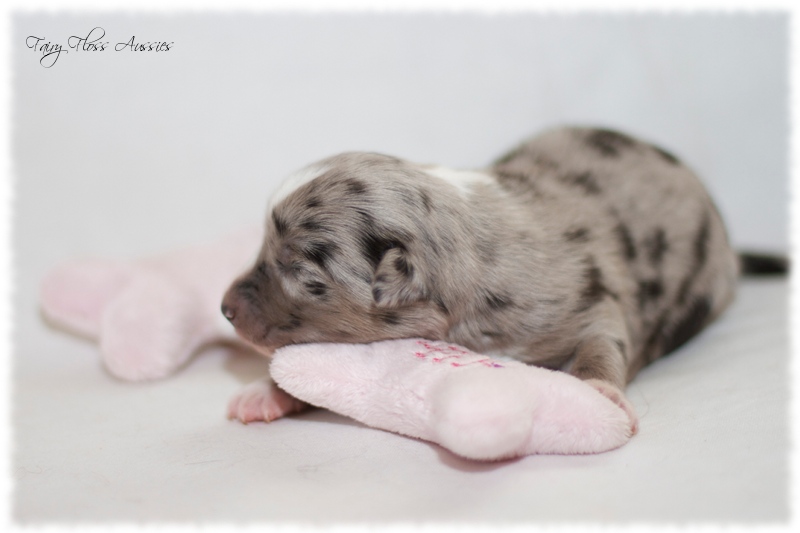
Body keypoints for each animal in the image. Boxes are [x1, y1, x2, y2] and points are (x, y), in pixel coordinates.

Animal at [222, 127, 780, 430]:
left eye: (297, 268)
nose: (224, 308)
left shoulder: (588, 296)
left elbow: (603, 340)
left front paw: (600, 392)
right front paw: (266, 393)